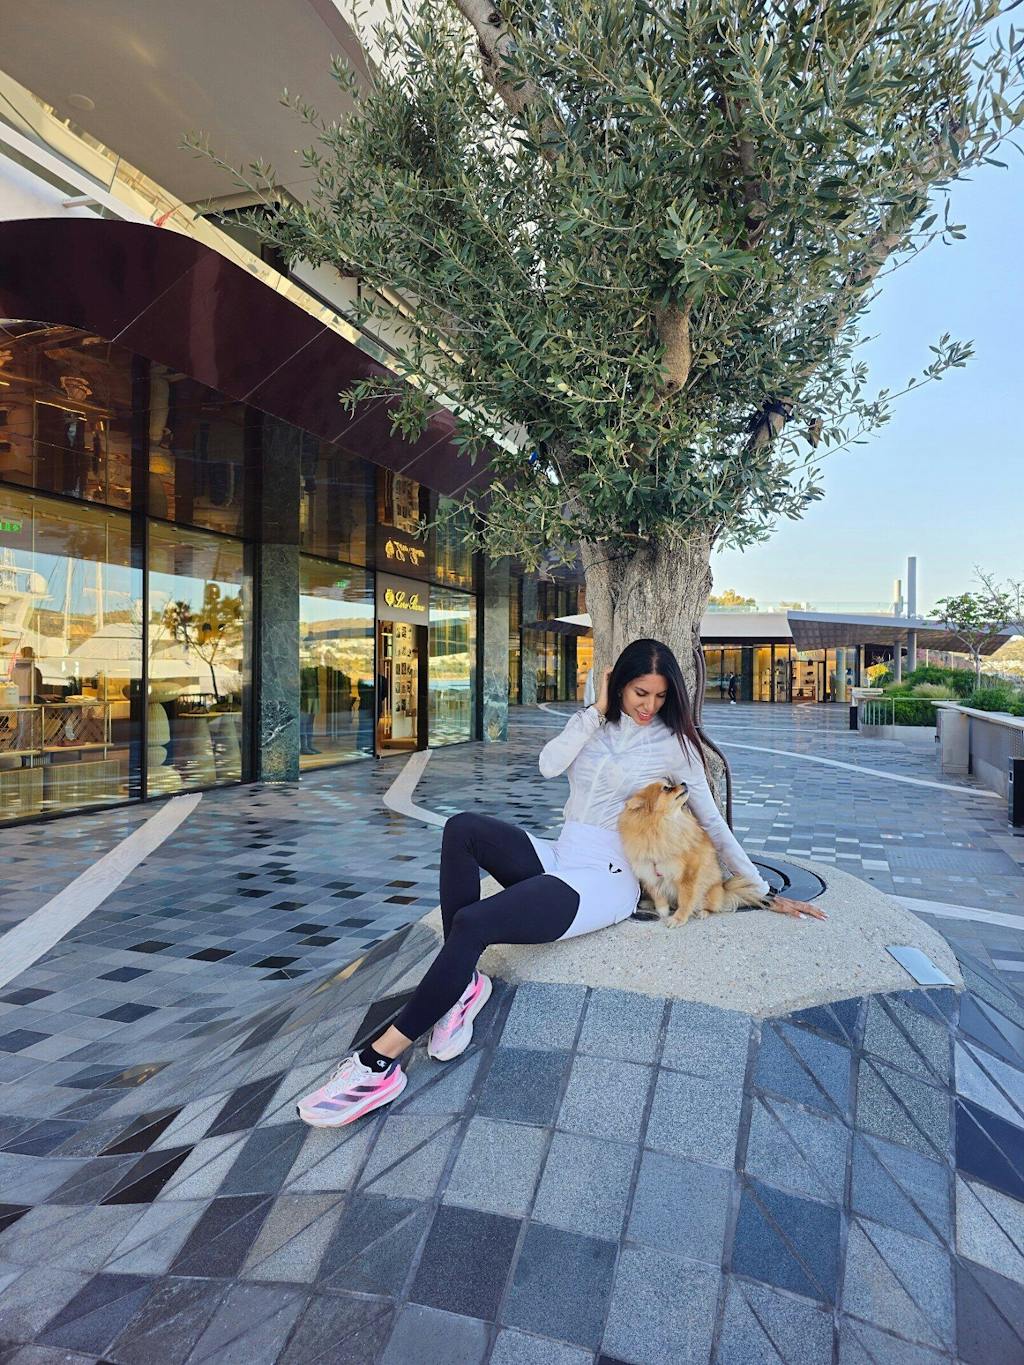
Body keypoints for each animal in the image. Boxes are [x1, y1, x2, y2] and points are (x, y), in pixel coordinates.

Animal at [618, 780, 767, 926]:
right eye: (666, 788)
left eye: (669, 784)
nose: (683, 782)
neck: (663, 826)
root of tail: (724, 890)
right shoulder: (648, 872)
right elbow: (658, 896)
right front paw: (662, 911)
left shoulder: (688, 874)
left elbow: (685, 899)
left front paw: (678, 919)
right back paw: (649, 903)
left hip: (709, 892)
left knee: (712, 907)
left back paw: (703, 912)